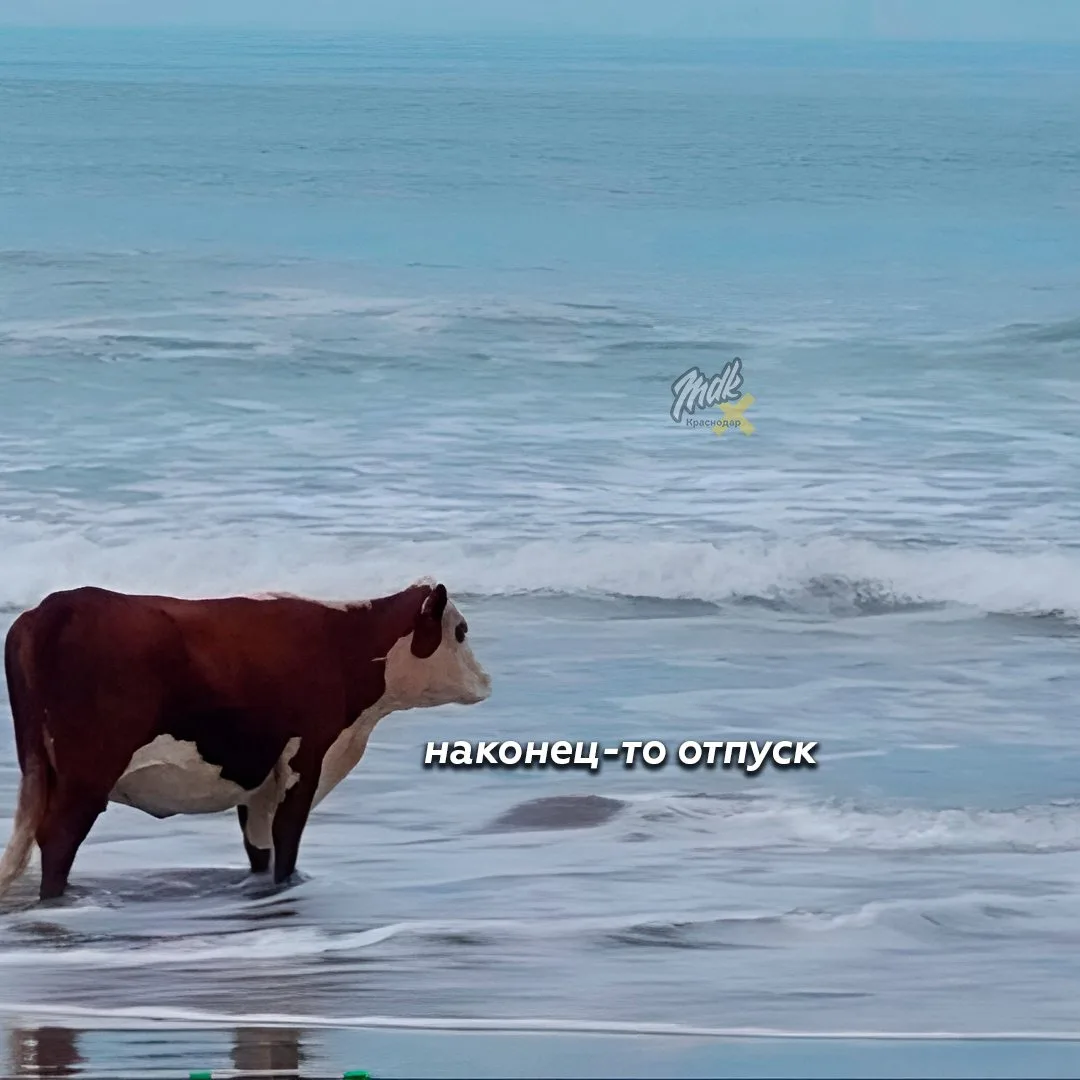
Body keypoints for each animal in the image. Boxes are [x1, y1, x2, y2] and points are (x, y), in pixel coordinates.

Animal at [0, 578, 491, 901]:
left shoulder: (260, 780)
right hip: (88, 772)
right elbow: (286, 839)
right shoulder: (304, 758)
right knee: (59, 838)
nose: (486, 681)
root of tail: (50, 609)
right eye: (461, 630)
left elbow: (260, 845)